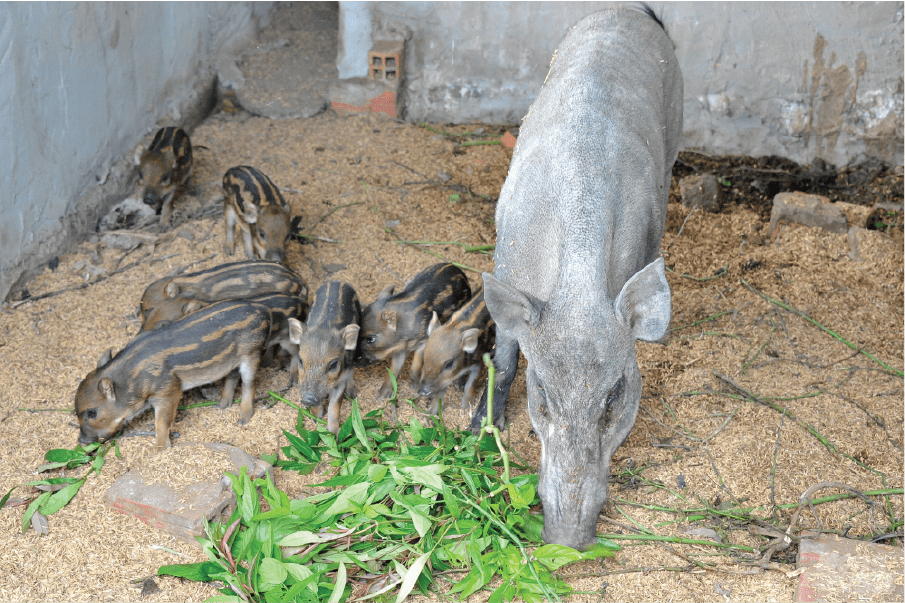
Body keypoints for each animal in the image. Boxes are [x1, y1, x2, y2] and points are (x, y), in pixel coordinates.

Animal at [470, 4, 680, 552]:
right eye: (541, 394)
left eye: (614, 395)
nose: (565, 539)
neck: (579, 289)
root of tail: (632, 10)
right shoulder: (507, 259)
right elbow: (504, 351)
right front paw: (478, 430)